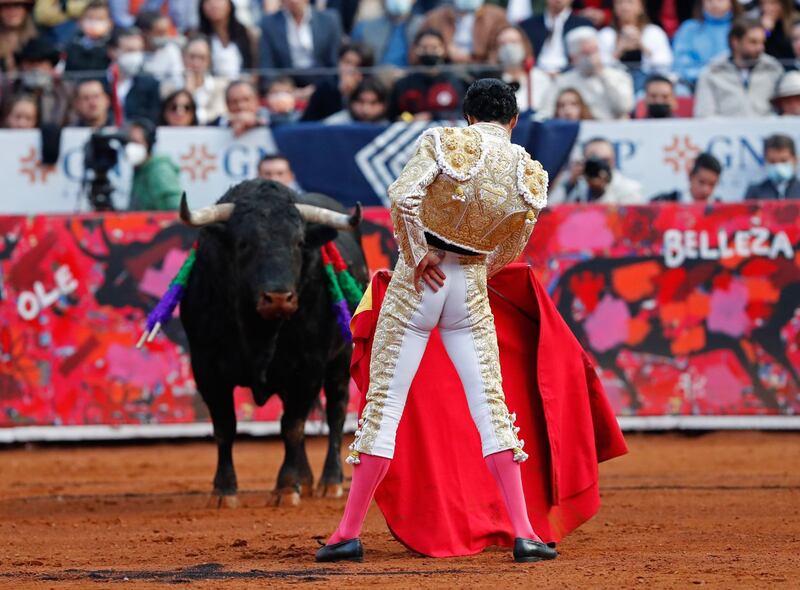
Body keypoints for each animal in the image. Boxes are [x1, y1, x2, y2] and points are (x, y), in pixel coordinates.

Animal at [179, 182, 368, 508]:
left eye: (299, 242)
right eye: (243, 244)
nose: (279, 297)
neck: (260, 332)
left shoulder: (308, 367)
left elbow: (292, 426)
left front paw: (286, 488)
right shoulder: (206, 369)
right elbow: (225, 427)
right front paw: (223, 490)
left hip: (340, 362)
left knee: (336, 412)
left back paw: (330, 481)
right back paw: (306, 480)